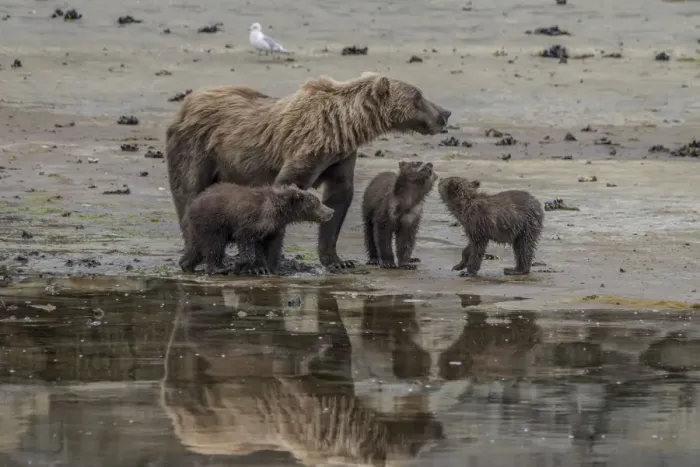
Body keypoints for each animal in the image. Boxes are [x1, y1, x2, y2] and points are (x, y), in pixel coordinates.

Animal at [178, 183, 334, 275]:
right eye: (317, 202)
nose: (331, 211)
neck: (280, 212)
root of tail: (192, 204)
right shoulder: (255, 220)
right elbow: (246, 240)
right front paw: (242, 264)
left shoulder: (275, 227)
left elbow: (273, 246)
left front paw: (271, 268)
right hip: (213, 222)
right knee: (215, 245)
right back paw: (220, 268)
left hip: (198, 228)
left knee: (196, 247)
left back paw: (186, 265)